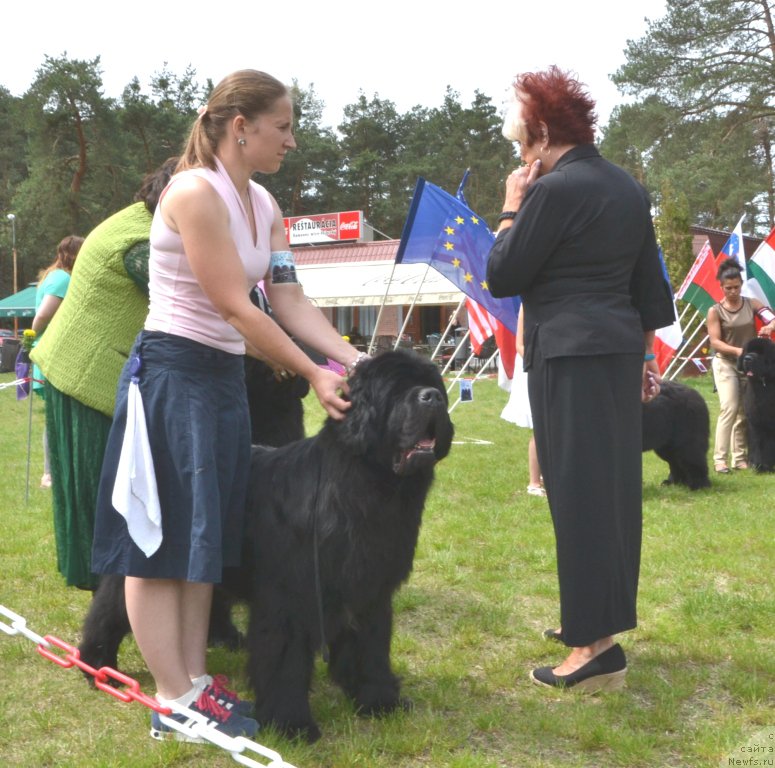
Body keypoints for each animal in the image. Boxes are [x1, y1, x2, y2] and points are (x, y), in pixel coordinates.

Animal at [736, 338, 775, 472]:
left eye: (761, 353)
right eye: (748, 351)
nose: (747, 358)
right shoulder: (754, 421)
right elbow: (756, 442)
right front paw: (756, 465)